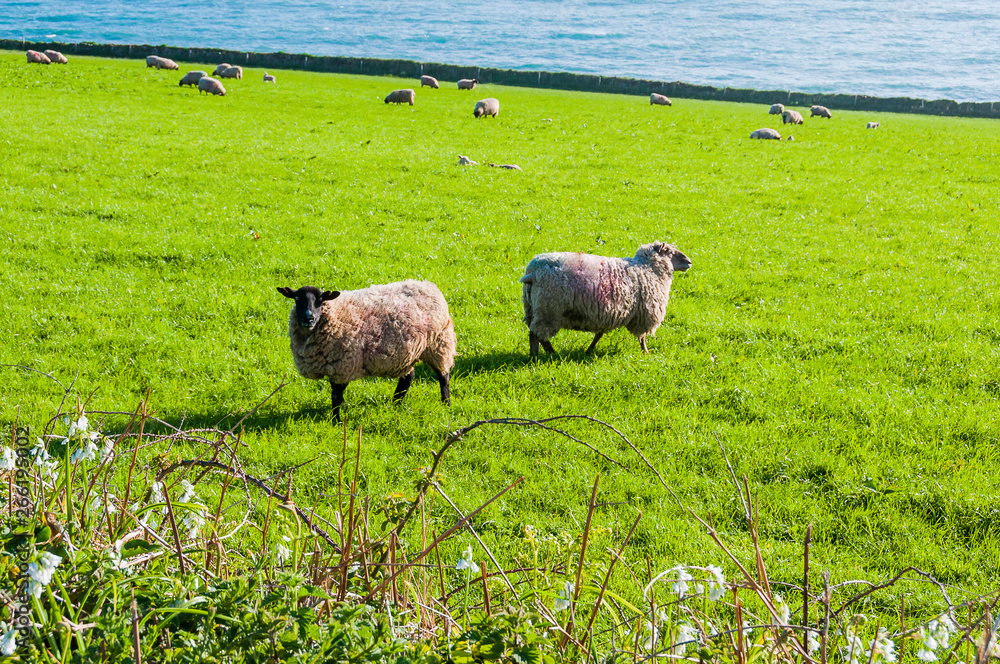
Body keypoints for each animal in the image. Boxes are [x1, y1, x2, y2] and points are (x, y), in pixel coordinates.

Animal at [277, 281, 456, 421]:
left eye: (320, 300)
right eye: (297, 299)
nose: (308, 318)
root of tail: (428, 285)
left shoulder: (343, 366)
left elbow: (336, 396)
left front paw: (337, 421)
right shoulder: (336, 368)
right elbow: (337, 396)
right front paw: (341, 412)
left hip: (438, 345)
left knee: (443, 377)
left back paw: (446, 404)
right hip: (406, 354)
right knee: (408, 377)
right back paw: (395, 404)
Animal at [520, 241, 691, 356]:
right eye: (669, 251)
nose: (689, 262)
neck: (648, 268)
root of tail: (533, 272)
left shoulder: (606, 313)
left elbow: (599, 335)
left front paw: (589, 350)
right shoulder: (644, 314)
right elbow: (642, 337)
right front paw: (646, 352)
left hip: (531, 309)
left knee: (532, 334)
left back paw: (534, 356)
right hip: (549, 311)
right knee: (539, 335)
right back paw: (553, 354)